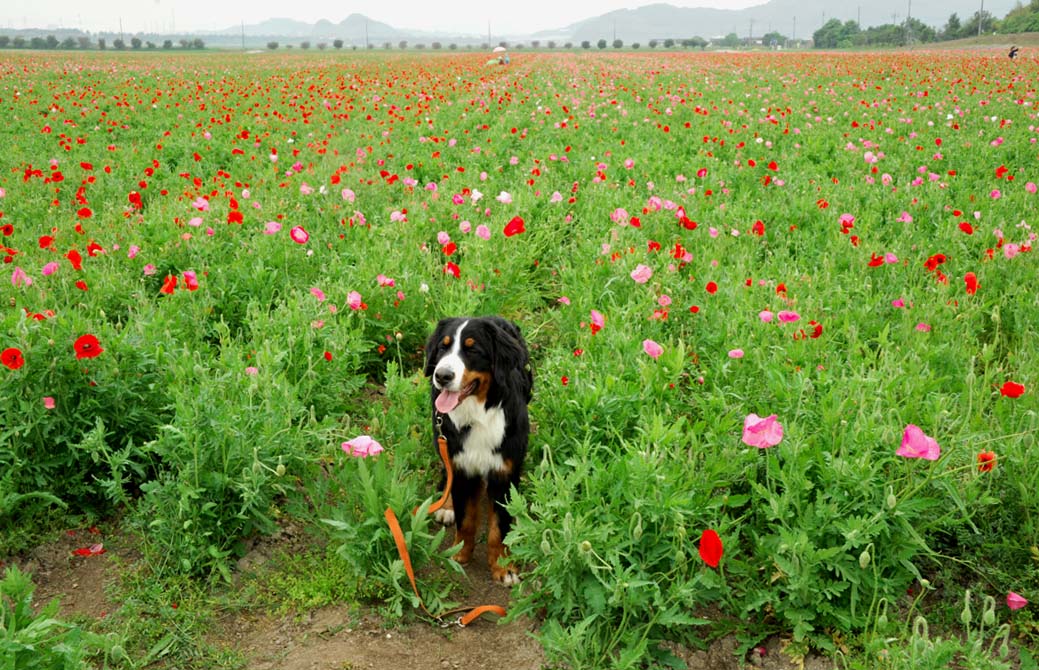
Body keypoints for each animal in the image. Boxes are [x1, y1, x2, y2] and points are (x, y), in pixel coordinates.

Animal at [423, 315, 531, 581]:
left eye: (472, 350)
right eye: (442, 347)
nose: (442, 375)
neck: (477, 416)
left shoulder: (504, 472)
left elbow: (499, 527)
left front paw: (503, 566)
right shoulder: (462, 467)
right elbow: (466, 520)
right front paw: (459, 554)